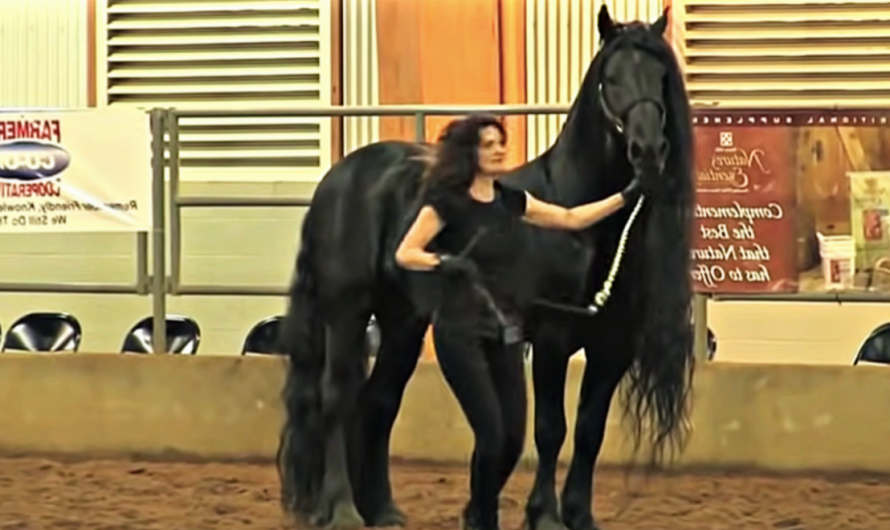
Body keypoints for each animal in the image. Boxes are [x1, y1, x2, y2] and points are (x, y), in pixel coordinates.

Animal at [276, 7, 692, 528]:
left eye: (661, 76)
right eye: (610, 77)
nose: (649, 153)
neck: (580, 216)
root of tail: (339, 176)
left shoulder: (613, 346)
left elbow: (589, 430)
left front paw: (579, 514)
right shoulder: (553, 338)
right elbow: (551, 428)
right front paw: (544, 514)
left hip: (403, 322)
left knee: (379, 401)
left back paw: (384, 509)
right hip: (347, 313)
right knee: (337, 398)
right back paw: (344, 509)